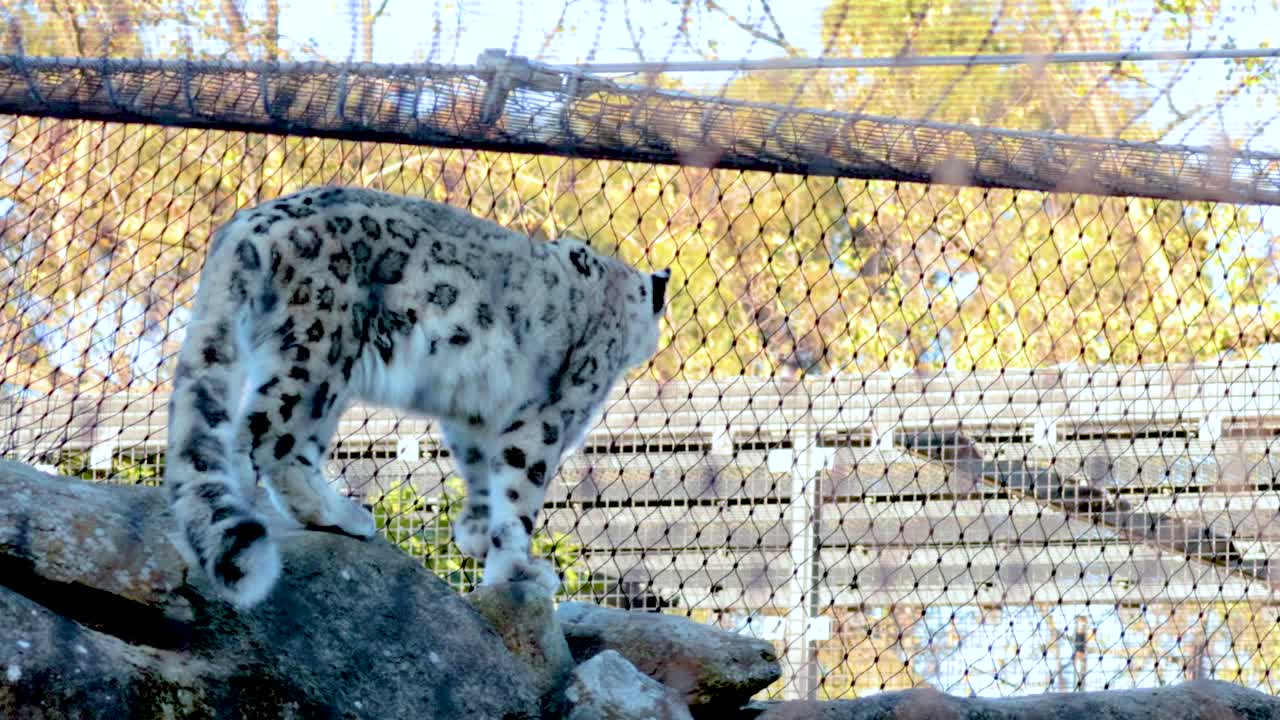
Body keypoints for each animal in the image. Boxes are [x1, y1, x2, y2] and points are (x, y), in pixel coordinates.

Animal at [165, 186, 669, 608]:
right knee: (257, 440)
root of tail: (253, 220)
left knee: (293, 450)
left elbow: (481, 472)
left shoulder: (475, 416)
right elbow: (519, 492)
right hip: (318, 351)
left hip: (325, 372)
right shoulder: (546, 416)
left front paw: (476, 535)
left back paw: (340, 516)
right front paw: (518, 571)